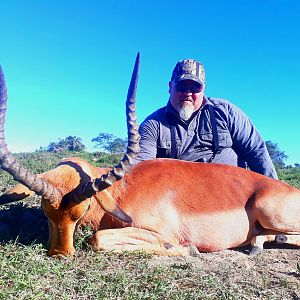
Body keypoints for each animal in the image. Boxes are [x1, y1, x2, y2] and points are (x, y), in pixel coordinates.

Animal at [0, 55, 300, 258]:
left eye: (82, 209)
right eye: (45, 210)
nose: (60, 254)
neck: (123, 191)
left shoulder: (158, 232)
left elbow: (96, 240)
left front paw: (189, 250)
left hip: (270, 213)